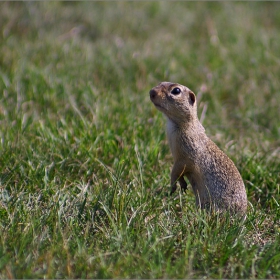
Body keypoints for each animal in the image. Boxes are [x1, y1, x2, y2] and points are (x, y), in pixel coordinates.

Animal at [150, 82, 246, 213]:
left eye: (176, 90)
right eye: (161, 83)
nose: (151, 92)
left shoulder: (185, 156)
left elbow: (177, 170)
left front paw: (173, 185)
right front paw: (182, 185)